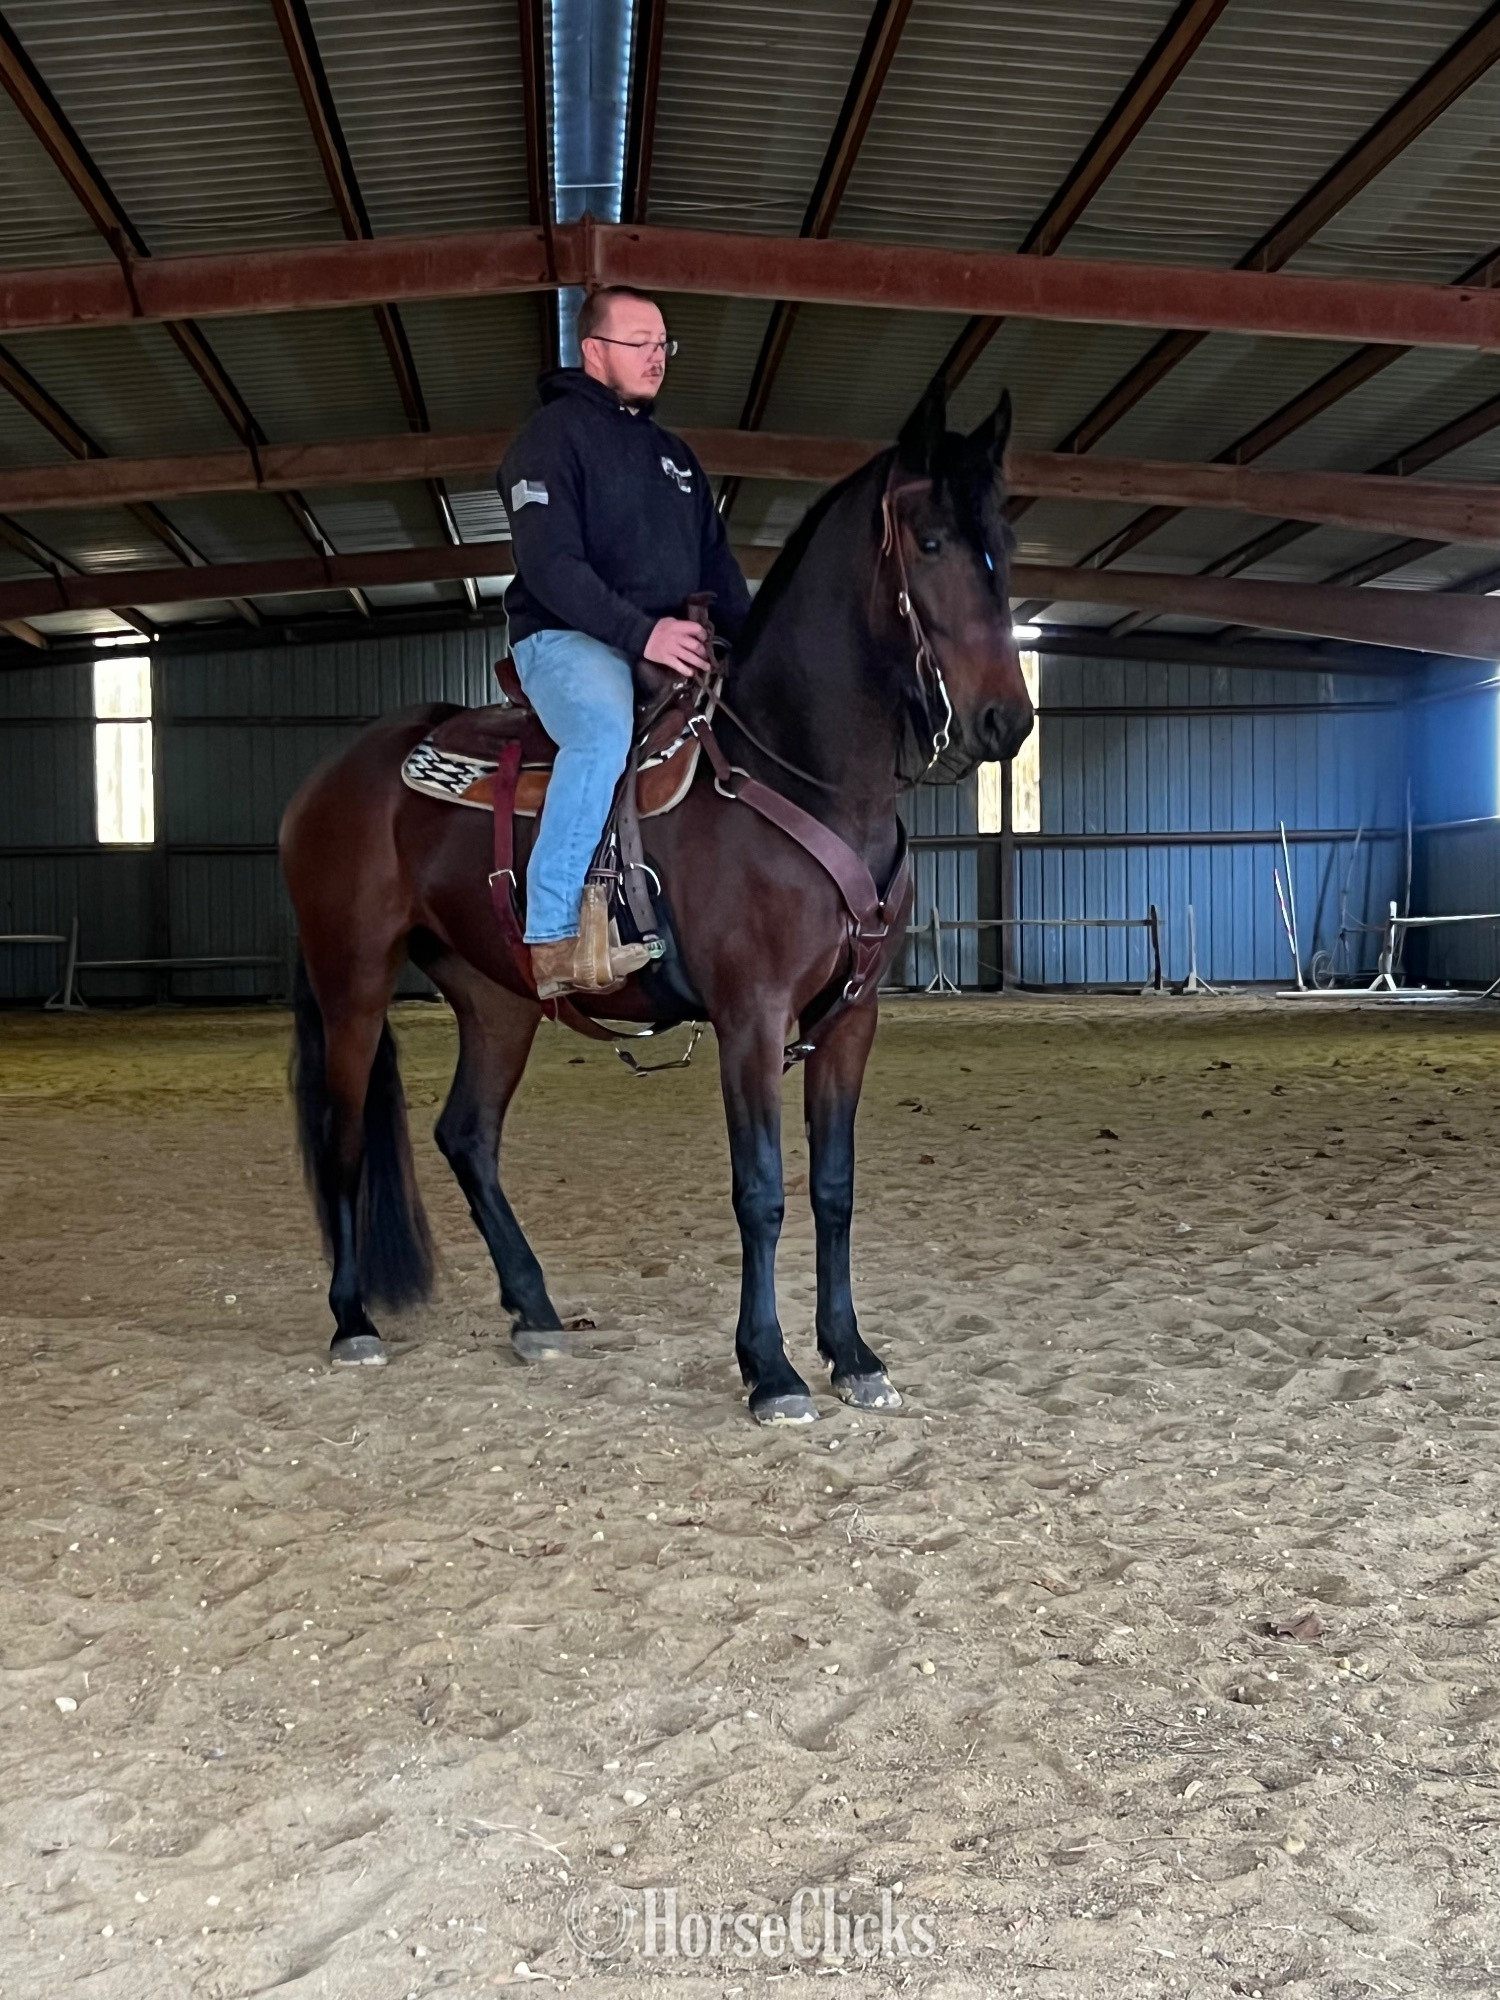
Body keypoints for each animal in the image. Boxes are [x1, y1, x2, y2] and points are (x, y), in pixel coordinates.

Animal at [279, 378, 1033, 1424]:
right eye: (928, 542)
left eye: (1002, 535)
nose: (1007, 721)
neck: (793, 771)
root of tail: (328, 778)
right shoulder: (750, 1017)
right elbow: (762, 1191)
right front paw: (771, 1369)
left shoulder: (851, 1019)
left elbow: (833, 1187)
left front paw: (851, 1354)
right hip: (352, 982)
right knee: (344, 1138)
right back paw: (354, 1321)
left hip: (498, 999)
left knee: (466, 1135)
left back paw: (536, 1312)